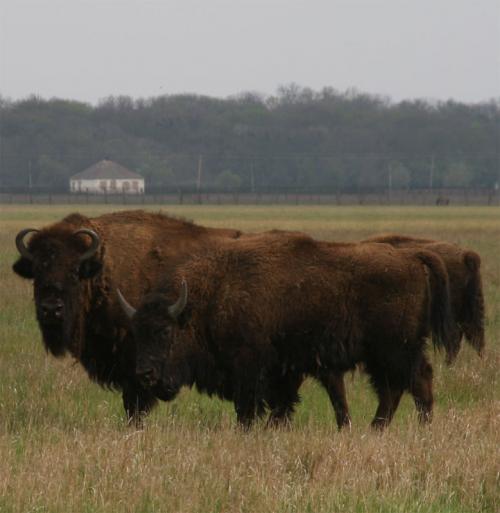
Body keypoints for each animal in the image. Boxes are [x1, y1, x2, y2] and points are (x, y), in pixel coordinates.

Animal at [12, 210, 242, 422]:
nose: (51, 309)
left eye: (74, 270)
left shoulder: (135, 363)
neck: (103, 267)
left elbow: (135, 403)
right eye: (36, 271)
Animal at [118, 232, 458, 428]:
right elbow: (282, 406)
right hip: (380, 357)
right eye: (136, 333)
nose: (144, 374)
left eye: (165, 332)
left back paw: (422, 428)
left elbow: (249, 409)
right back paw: (376, 429)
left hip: (397, 349)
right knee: (392, 390)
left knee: (418, 381)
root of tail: (410, 256)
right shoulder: (287, 370)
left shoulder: (251, 371)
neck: (213, 296)